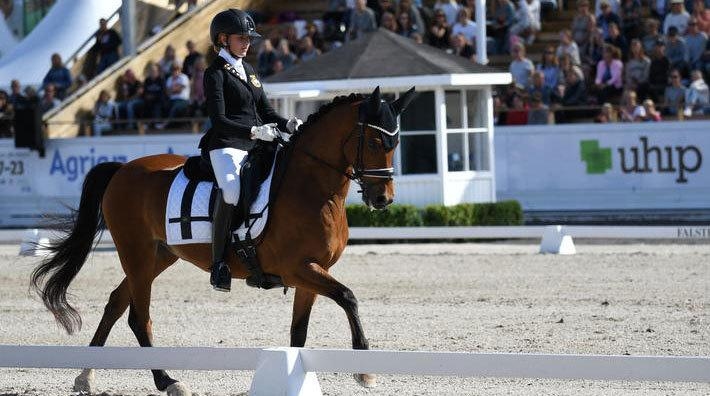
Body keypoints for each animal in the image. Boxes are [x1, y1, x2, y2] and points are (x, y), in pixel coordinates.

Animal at [29, 86, 418, 392]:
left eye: (397, 141)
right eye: (374, 140)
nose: (383, 199)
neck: (312, 189)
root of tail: (122, 169)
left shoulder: (312, 273)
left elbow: (300, 333)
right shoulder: (298, 269)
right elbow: (349, 297)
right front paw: (366, 371)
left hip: (157, 257)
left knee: (115, 303)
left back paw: (85, 375)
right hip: (136, 255)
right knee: (138, 317)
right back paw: (168, 381)